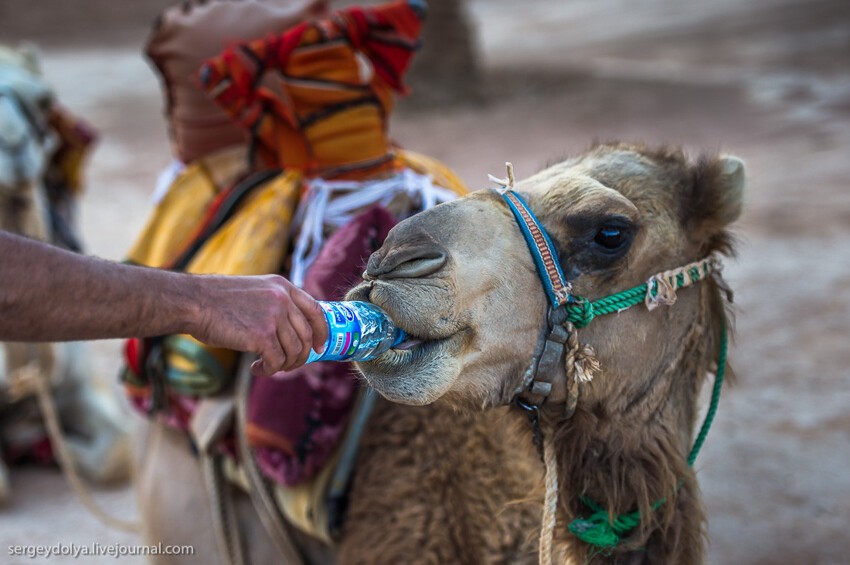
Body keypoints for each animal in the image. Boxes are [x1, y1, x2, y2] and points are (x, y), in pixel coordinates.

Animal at [0, 43, 131, 502]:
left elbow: (117, 452)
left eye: (43, 99)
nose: (13, 143)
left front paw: (53, 449)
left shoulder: (78, 386)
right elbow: (0, 485)